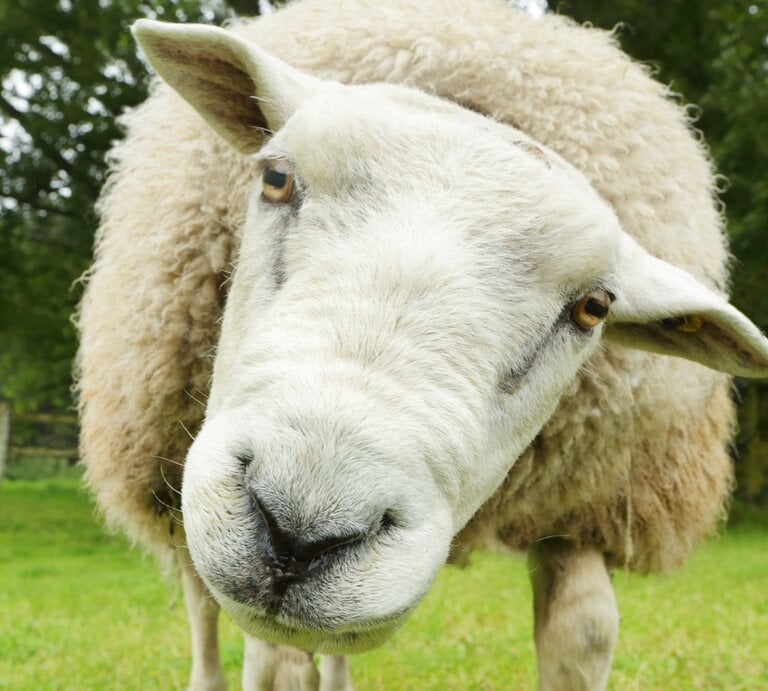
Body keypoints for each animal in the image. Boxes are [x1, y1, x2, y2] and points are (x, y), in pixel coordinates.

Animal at [76, 0, 768, 689]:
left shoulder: (582, 510)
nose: (301, 532)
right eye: (275, 178)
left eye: (593, 308)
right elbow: (271, 662)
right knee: (203, 606)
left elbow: (585, 632)